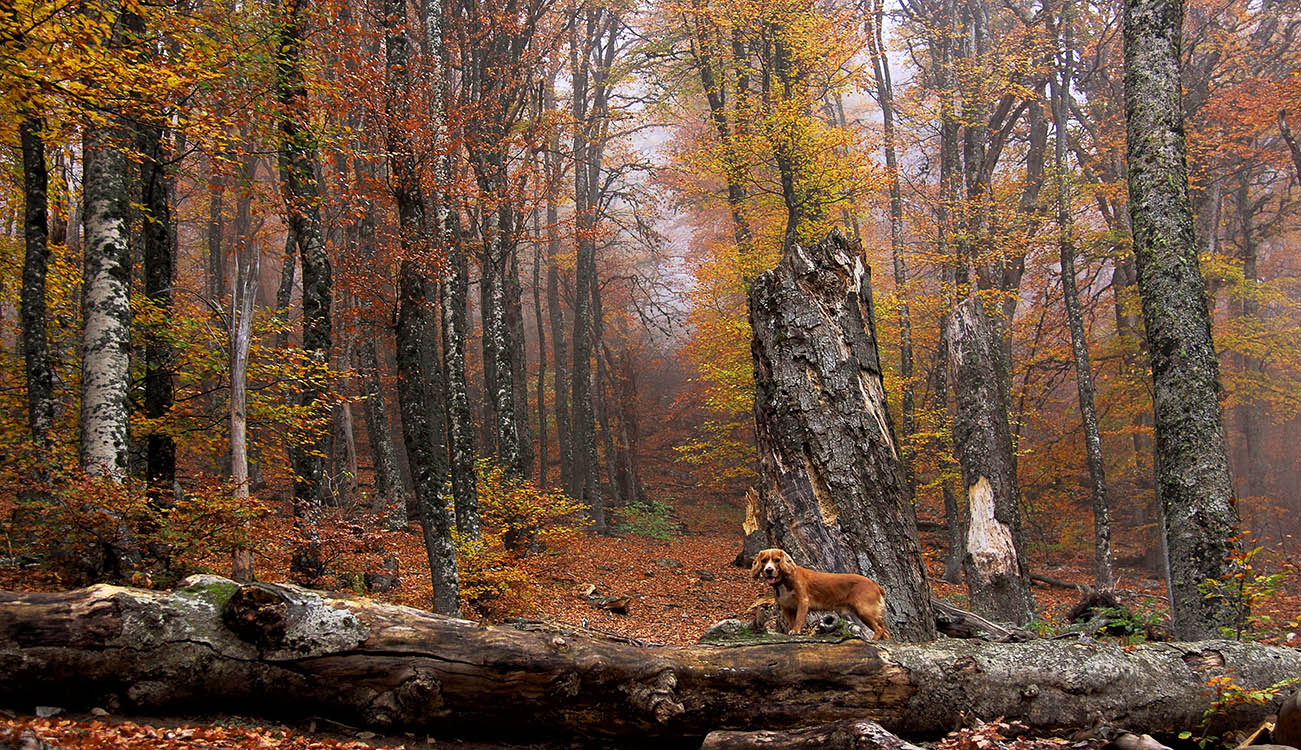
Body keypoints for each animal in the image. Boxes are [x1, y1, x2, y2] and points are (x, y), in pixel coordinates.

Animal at [759, 544, 889, 638]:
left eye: (777, 560)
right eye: (764, 561)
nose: (768, 570)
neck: (784, 581)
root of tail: (875, 584)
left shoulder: (803, 602)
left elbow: (798, 619)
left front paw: (795, 631)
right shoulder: (786, 607)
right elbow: (792, 621)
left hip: (864, 611)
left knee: (879, 629)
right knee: (885, 631)